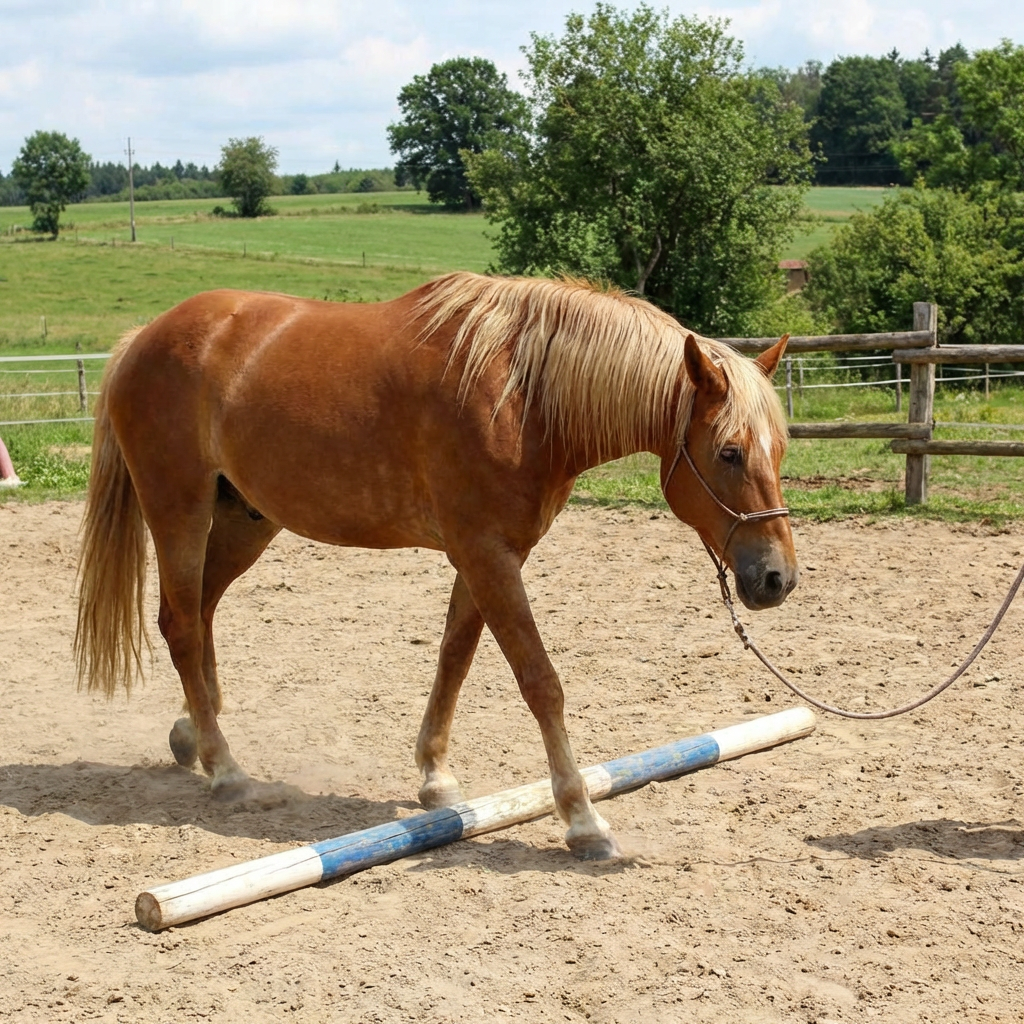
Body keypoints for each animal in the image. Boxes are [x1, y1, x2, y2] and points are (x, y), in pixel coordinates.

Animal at [75, 272, 797, 860]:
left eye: (780, 448)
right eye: (730, 452)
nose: (777, 578)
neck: (522, 395)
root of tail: (143, 338)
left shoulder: (489, 555)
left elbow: (454, 657)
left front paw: (435, 777)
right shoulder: (485, 553)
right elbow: (540, 681)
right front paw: (583, 820)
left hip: (244, 522)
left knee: (198, 614)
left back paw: (194, 738)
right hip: (180, 512)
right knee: (180, 625)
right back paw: (227, 771)